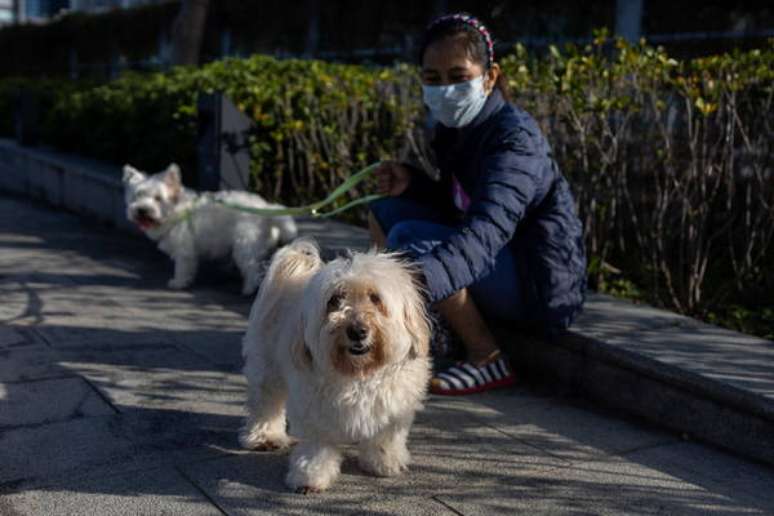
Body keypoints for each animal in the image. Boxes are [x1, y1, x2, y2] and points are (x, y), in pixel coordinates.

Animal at [121, 164, 298, 294]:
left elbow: (182, 268)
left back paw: (249, 289)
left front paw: (178, 283)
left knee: (252, 268)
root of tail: (266, 209)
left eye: (158, 198)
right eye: (137, 196)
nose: (142, 210)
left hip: (245, 246)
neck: (176, 211)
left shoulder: (185, 251)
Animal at [242, 240, 434, 494]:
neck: (358, 373)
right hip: (267, 367)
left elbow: (385, 437)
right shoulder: (314, 409)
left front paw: (384, 462)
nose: (357, 330)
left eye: (375, 298)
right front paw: (310, 476)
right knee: (266, 403)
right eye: (335, 300)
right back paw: (265, 436)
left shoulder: (394, 408)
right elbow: (317, 447)